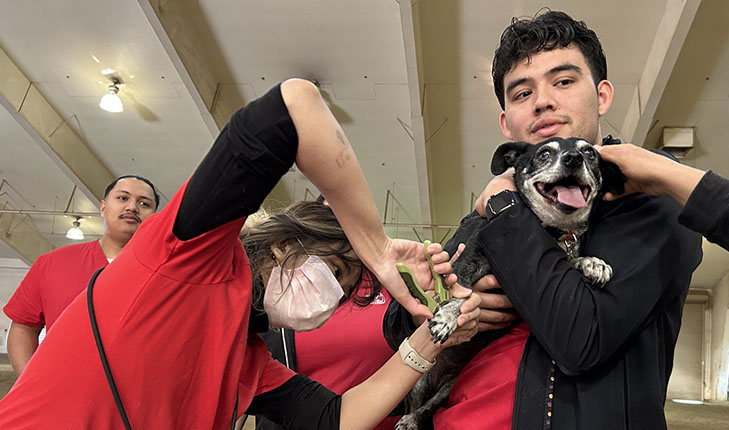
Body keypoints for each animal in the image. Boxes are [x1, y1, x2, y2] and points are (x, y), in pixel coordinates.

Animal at [396, 139, 624, 430]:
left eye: (589, 152)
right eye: (544, 153)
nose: (574, 158)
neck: (550, 230)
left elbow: (568, 261)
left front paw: (591, 262)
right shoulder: (468, 257)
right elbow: (463, 291)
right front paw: (447, 318)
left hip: (448, 386)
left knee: (430, 406)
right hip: (417, 379)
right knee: (414, 405)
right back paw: (408, 420)